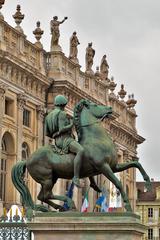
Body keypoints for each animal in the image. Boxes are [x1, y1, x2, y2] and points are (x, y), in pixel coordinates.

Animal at [11, 99, 151, 212]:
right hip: (46, 178)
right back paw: (68, 203)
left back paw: (59, 207)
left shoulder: (114, 166)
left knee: (42, 196)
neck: (96, 139)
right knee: (46, 195)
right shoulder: (104, 167)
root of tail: (27, 160)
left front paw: (148, 183)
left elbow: (136, 163)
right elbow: (118, 183)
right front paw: (128, 206)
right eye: (95, 105)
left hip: (52, 178)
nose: (110, 108)